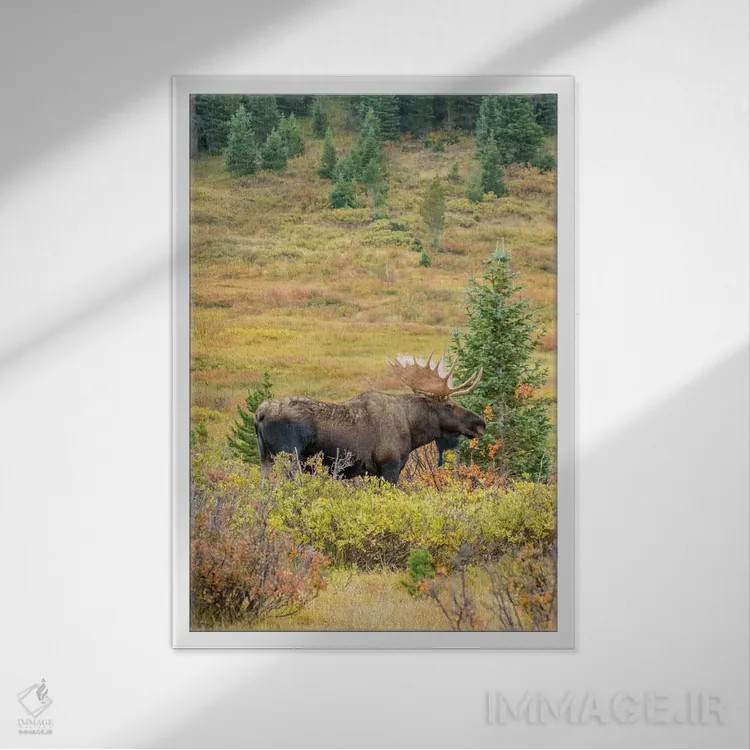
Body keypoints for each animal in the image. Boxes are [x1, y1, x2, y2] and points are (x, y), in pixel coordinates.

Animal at [254, 354, 485, 484]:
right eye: (448, 406)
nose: (480, 423)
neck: (412, 431)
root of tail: (259, 414)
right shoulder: (389, 466)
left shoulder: (372, 472)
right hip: (290, 458)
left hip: (265, 459)